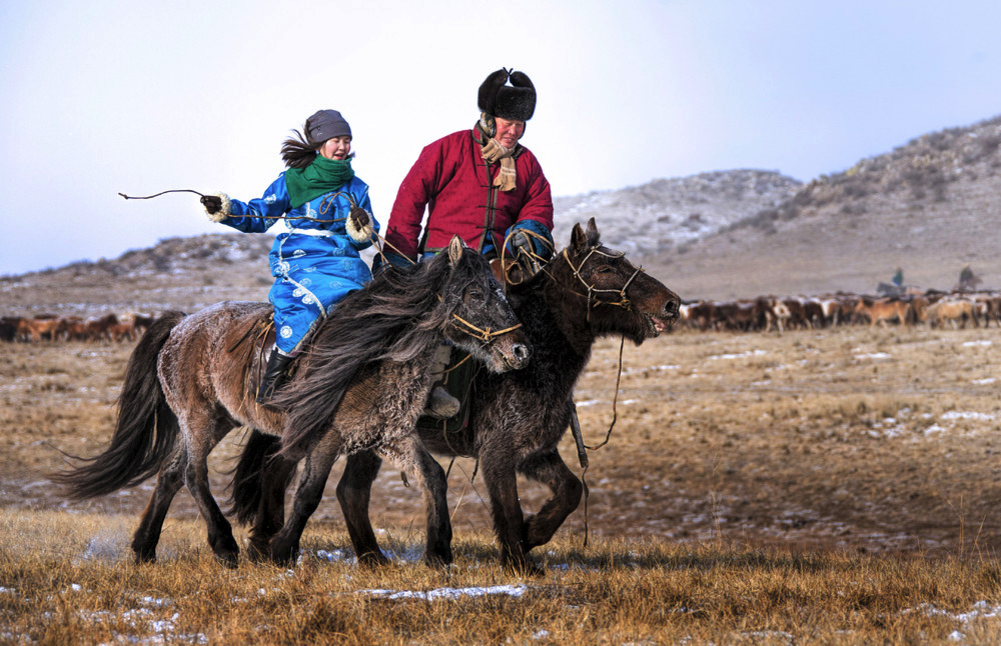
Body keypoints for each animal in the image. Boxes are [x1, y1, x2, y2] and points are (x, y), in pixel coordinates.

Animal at [56, 236, 532, 564]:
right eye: (475, 293)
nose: (520, 351)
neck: (376, 357)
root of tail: (179, 326)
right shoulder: (327, 437)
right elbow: (308, 494)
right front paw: (279, 550)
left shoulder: (389, 435)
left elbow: (433, 477)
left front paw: (439, 551)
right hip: (198, 417)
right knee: (192, 474)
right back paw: (224, 545)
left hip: (221, 419)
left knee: (172, 474)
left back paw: (144, 548)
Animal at [234, 220, 684, 568]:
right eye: (607, 267)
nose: (672, 304)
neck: (538, 356)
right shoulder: (498, 452)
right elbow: (508, 507)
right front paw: (520, 560)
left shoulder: (535, 452)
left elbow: (571, 490)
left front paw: (534, 533)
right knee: (287, 472)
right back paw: (269, 544)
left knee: (346, 491)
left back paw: (367, 557)